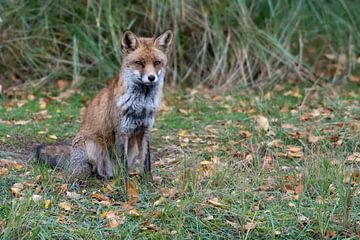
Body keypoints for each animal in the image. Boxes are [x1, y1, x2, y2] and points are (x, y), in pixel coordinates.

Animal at [34, 29, 173, 180]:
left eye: (157, 62)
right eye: (139, 62)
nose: (151, 77)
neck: (141, 104)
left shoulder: (145, 131)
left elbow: (147, 163)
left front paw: (148, 182)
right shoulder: (121, 132)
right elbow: (123, 164)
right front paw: (126, 184)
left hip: (133, 148)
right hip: (93, 146)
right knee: (94, 170)